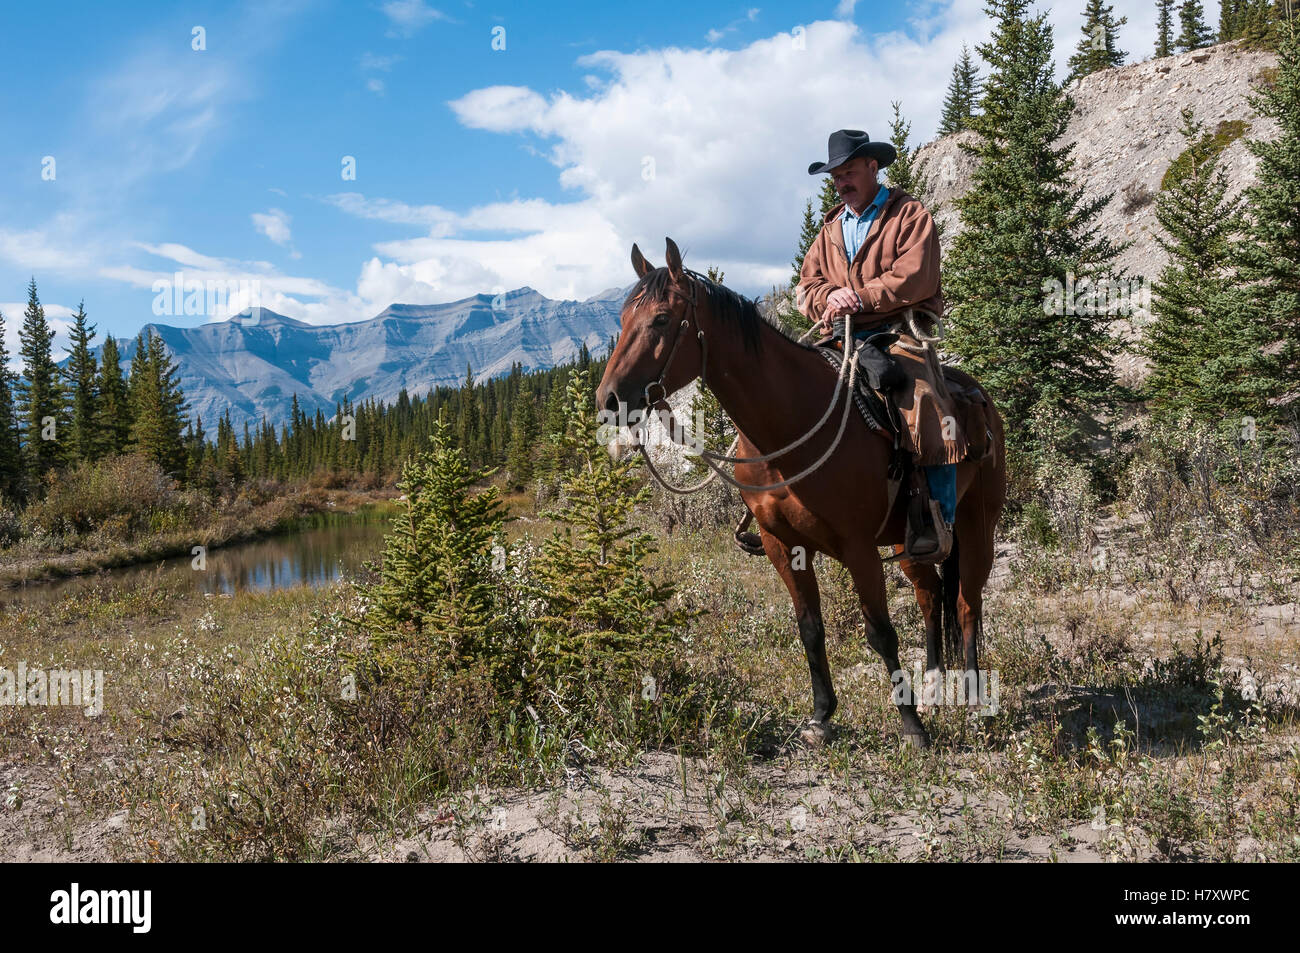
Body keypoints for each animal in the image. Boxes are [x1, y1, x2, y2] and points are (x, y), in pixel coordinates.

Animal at [595, 237, 1007, 749]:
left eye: (661, 319)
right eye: (622, 319)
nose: (609, 400)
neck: (789, 425)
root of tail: (978, 396)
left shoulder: (857, 547)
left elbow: (881, 633)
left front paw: (911, 726)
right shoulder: (781, 544)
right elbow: (810, 629)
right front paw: (822, 716)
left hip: (977, 523)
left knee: (968, 604)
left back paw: (972, 701)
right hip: (911, 539)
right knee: (931, 597)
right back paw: (932, 684)